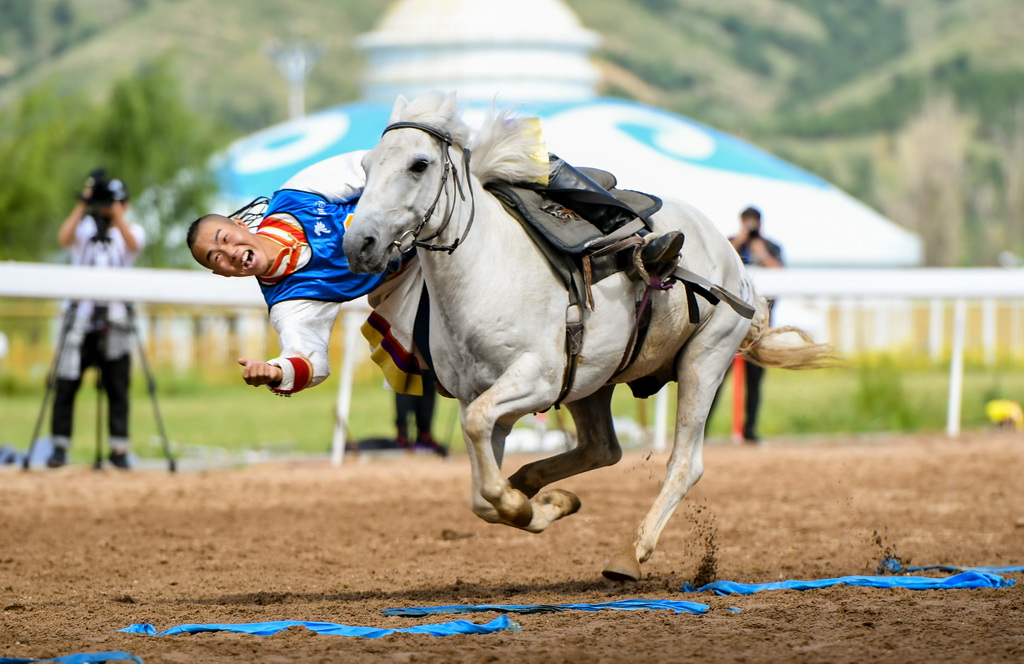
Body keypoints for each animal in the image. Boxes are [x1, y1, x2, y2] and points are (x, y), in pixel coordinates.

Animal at [344, 93, 831, 582]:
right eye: (366, 165)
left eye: (419, 164)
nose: (358, 243)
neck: (488, 266)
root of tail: (734, 258)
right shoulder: (479, 396)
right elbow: (482, 492)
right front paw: (538, 503)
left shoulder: (535, 380)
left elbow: (481, 447)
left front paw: (525, 506)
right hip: (591, 381)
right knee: (603, 448)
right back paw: (540, 487)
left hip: (704, 362)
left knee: (683, 464)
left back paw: (629, 553)